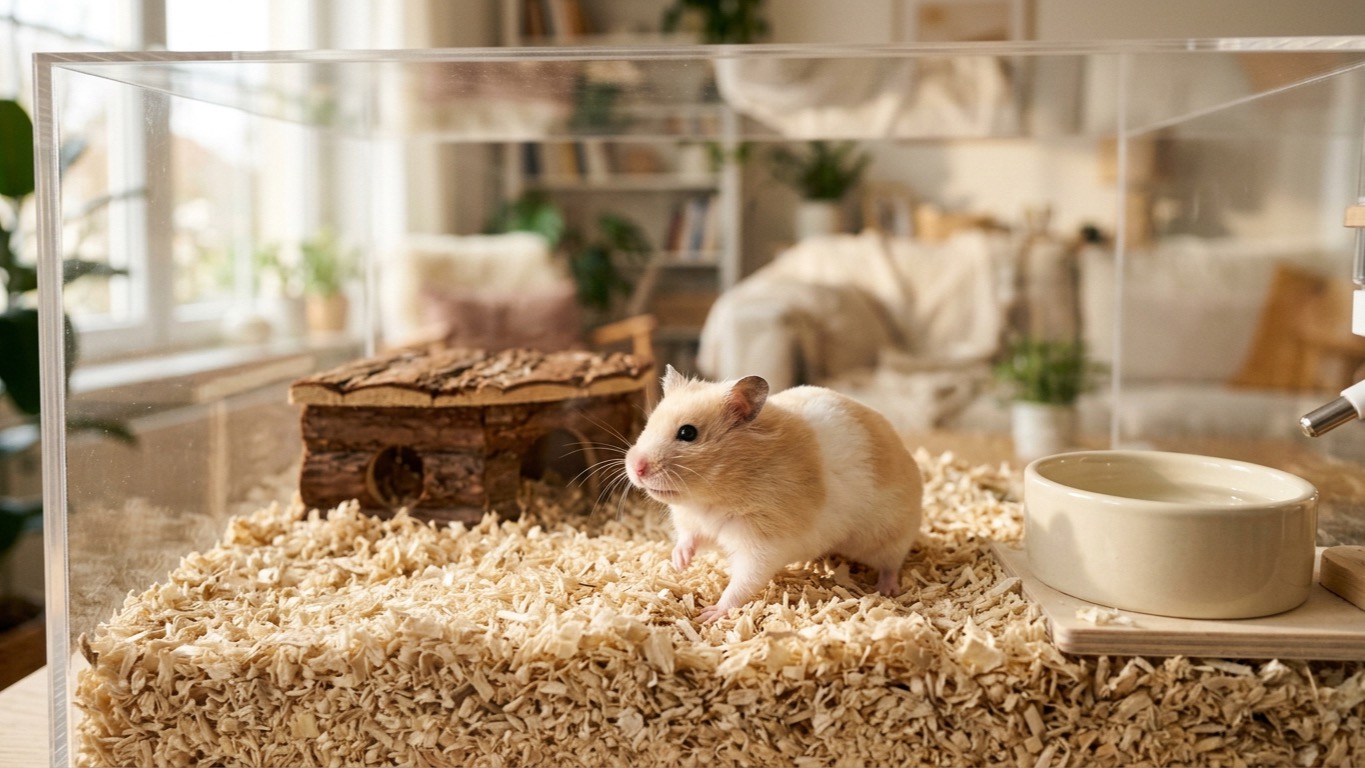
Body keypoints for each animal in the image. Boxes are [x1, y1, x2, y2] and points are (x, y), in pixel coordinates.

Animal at [624, 365, 923, 622]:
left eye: (688, 433)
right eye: (648, 424)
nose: (635, 467)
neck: (711, 498)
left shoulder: (763, 543)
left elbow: (744, 581)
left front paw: (710, 614)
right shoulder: (699, 524)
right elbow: (689, 538)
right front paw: (679, 563)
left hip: (890, 536)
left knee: (892, 563)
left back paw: (887, 590)